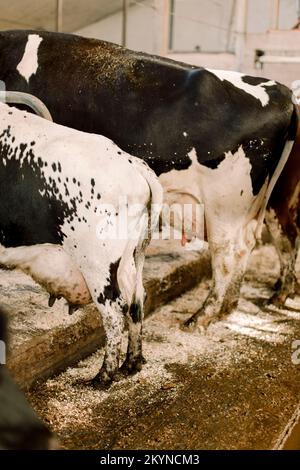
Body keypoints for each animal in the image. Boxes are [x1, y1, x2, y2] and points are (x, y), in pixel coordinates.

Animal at [0, 30, 298, 330]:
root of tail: (282, 92)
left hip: (226, 209)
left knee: (231, 253)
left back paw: (202, 317)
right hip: (266, 203)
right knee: (274, 238)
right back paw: (245, 304)